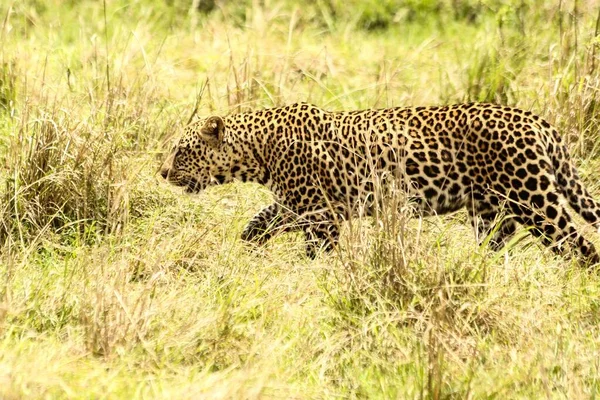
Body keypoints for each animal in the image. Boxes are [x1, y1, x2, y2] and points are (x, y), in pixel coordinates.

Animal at [159, 102, 600, 266]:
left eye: (180, 151)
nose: (162, 172)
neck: (257, 152)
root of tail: (537, 120)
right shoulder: (298, 202)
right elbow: (263, 217)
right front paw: (247, 242)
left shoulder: (322, 214)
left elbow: (314, 250)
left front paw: (312, 273)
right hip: (491, 210)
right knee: (495, 241)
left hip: (534, 199)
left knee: (578, 244)